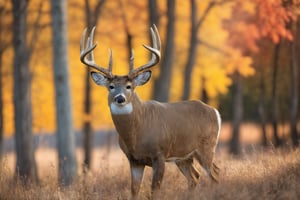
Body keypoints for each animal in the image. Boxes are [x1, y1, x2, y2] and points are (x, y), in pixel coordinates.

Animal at [79, 25, 220, 199]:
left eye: (129, 86)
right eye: (111, 87)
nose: (120, 98)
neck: (137, 135)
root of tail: (214, 110)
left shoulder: (160, 154)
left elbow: (154, 190)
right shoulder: (134, 160)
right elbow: (134, 191)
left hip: (207, 146)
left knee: (214, 176)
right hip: (184, 156)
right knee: (195, 177)